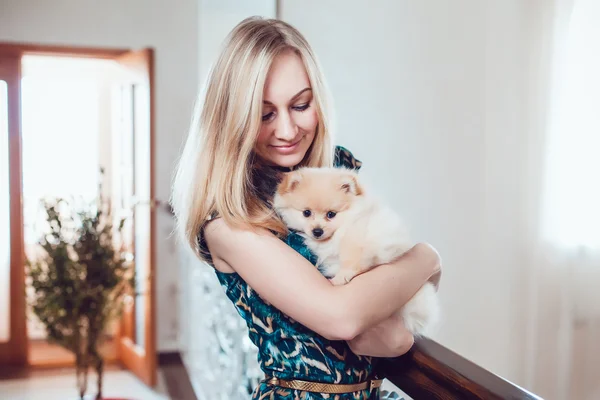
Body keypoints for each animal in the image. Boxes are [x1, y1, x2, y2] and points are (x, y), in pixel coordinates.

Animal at [274, 167, 438, 336]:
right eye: (306, 213)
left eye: (331, 214)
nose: (317, 231)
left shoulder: (357, 234)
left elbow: (351, 259)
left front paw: (341, 277)